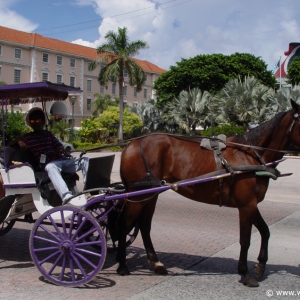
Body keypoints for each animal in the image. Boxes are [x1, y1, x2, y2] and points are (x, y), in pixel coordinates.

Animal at [116, 99, 300, 288]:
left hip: (150, 193)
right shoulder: (246, 204)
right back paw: (122, 265)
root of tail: (130, 145)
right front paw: (245, 272)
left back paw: (156, 263)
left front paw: (261, 265)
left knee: (144, 225)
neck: (251, 156)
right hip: (138, 195)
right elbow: (245, 239)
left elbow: (265, 231)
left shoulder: (251, 203)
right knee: (124, 224)